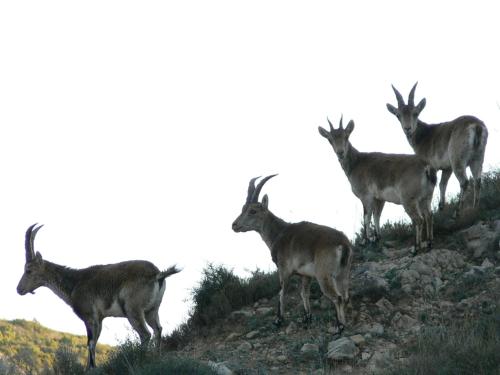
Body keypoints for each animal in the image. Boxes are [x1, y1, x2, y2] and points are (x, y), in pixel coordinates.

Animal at [16, 225, 181, 368]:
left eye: (28, 270)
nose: (19, 289)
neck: (74, 283)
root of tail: (157, 274)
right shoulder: (100, 318)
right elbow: (93, 342)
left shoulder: (90, 317)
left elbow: (90, 343)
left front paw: (91, 367)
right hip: (152, 310)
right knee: (158, 329)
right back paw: (157, 356)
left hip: (133, 310)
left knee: (145, 334)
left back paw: (140, 359)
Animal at [230, 175, 352, 336]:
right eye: (243, 209)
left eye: (253, 211)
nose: (234, 225)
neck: (278, 233)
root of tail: (343, 244)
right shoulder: (306, 275)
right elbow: (304, 293)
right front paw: (307, 318)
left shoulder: (284, 270)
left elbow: (281, 293)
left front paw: (278, 320)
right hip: (342, 273)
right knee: (345, 296)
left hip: (324, 275)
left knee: (337, 298)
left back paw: (339, 327)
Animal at [318, 117, 436, 253]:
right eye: (330, 139)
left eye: (346, 136)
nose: (340, 152)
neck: (357, 163)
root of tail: (426, 167)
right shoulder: (379, 198)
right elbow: (377, 215)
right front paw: (377, 238)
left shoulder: (366, 196)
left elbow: (366, 217)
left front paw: (365, 241)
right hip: (426, 197)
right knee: (429, 215)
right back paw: (429, 243)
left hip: (408, 199)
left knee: (419, 219)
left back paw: (415, 248)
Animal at [386, 83, 488, 216]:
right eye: (398, 115)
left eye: (415, 113)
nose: (407, 129)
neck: (423, 136)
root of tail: (476, 126)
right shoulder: (447, 168)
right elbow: (442, 184)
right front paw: (441, 208)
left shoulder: (432, 167)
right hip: (478, 157)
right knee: (478, 181)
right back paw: (475, 208)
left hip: (458, 159)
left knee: (464, 182)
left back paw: (457, 212)